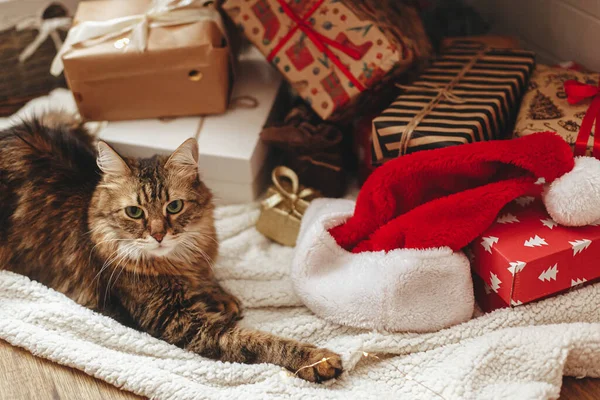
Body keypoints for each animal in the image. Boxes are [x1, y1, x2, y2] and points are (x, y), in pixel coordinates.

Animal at [0, 114, 342, 382]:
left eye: (174, 207)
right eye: (134, 212)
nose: (158, 234)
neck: (178, 263)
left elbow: (213, 285)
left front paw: (222, 297)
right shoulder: (180, 322)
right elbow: (256, 340)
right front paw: (315, 359)